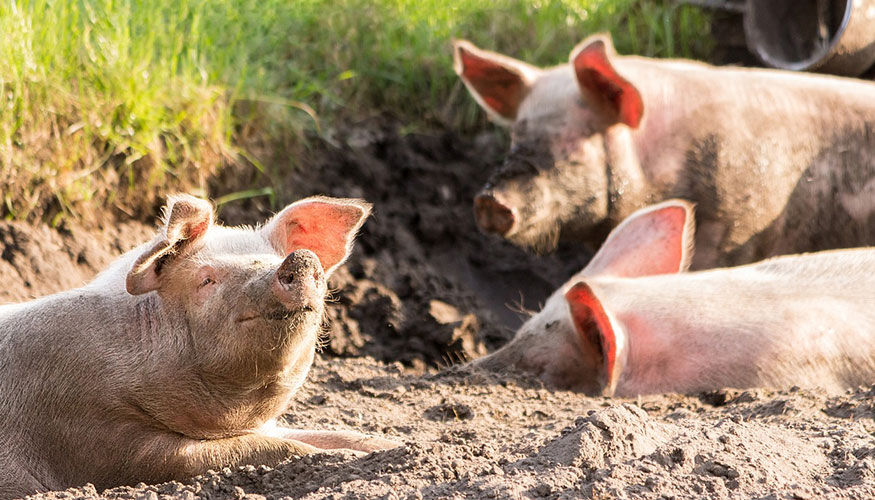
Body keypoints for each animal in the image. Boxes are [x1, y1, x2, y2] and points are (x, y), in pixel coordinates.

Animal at [0, 194, 400, 500]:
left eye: (275, 259)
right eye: (206, 280)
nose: (301, 259)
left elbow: (339, 435)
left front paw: (393, 447)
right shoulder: (98, 436)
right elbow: (268, 449)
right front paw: (341, 457)